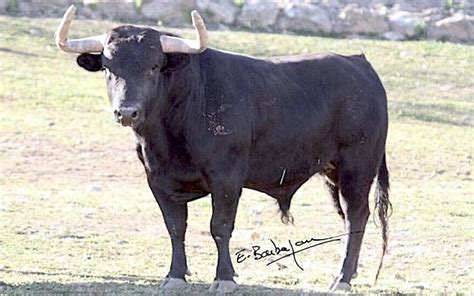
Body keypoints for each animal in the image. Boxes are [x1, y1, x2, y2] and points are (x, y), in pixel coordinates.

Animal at [70, 24, 388, 292]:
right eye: (109, 68)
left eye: (154, 66)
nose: (127, 112)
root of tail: (360, 64)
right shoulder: (157, 180)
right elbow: (175, 227)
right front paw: (175, 276)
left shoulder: (226, 179)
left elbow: (220, 227)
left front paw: (224, 278)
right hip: (334, 172)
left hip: (357, 169)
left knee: (356, 216)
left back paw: (342, 279)